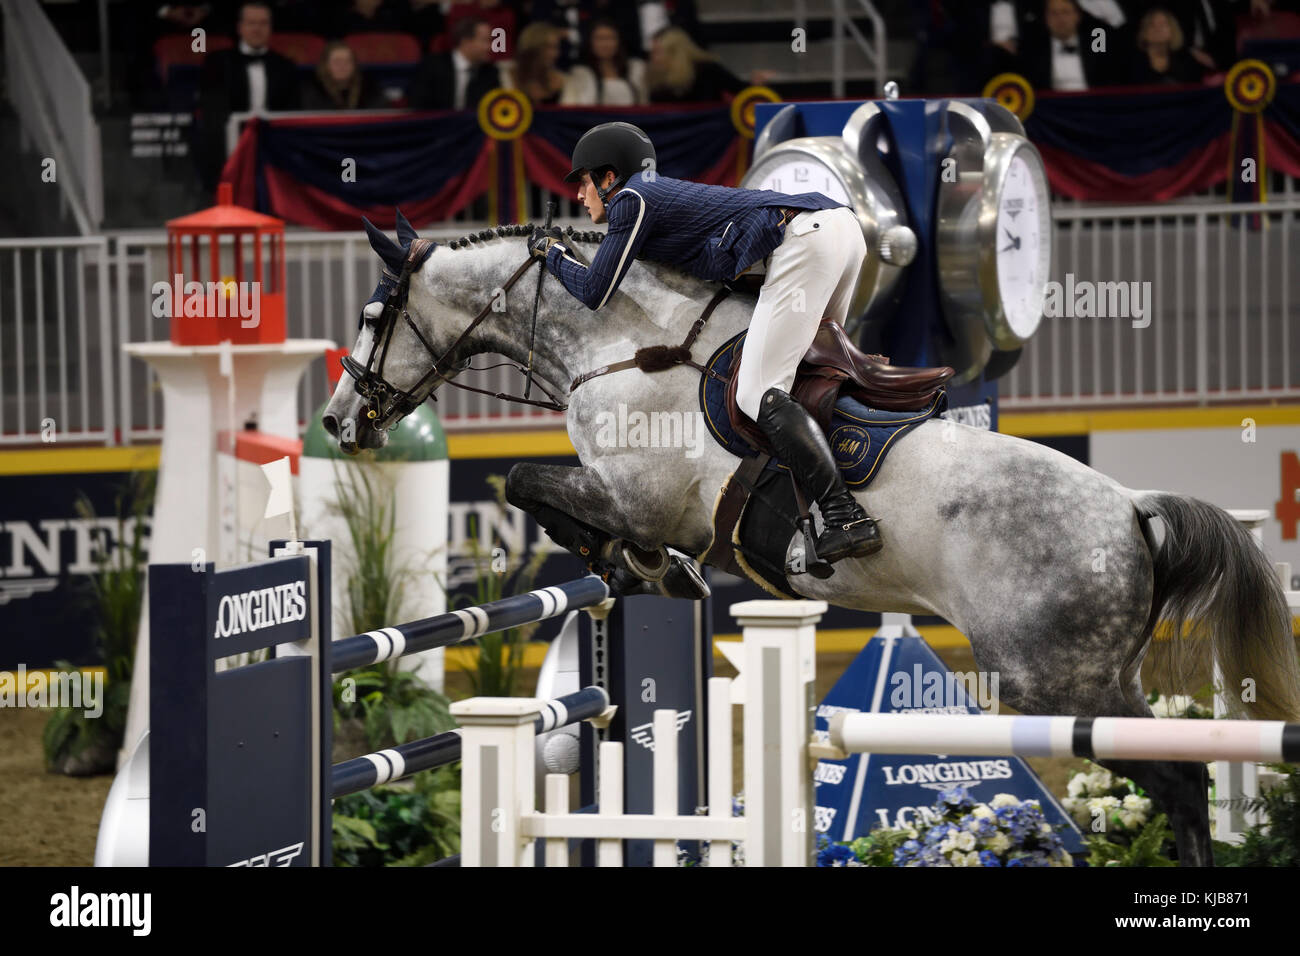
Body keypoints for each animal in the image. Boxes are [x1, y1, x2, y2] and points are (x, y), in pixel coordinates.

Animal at [322, 217, 1300, 868]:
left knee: (1171, 777)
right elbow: (545, 495)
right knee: (1178, 771)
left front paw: (634, 563)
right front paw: (647, 570)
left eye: (372, 316)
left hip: (1053, 679)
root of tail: (1132, 507)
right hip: (1099, 675)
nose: (337, 421)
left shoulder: (635, 497)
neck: (627, 345)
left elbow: (529, 483)